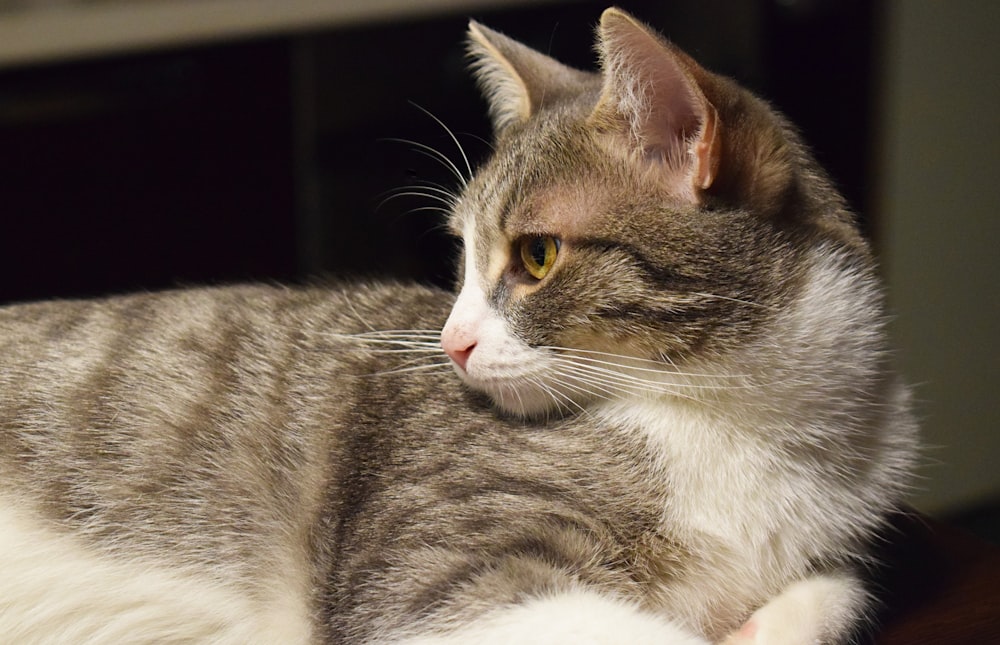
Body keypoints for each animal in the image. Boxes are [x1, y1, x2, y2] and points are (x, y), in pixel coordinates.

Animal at [1, 8, 920, 644]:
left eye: (538, 255)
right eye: (462, 254)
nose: (452, 343)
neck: (737, 418)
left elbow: (841, 590)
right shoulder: (433, 582)